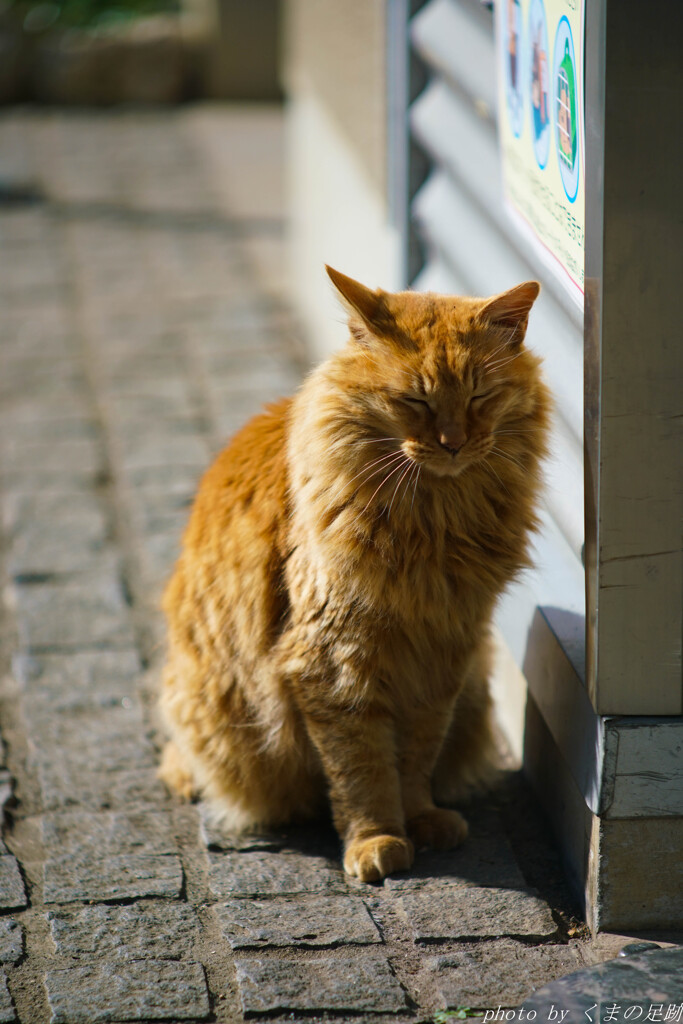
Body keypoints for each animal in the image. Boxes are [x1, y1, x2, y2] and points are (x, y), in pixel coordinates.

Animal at [158, 270, 548, 880]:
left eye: (480, 396)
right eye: (415, 400)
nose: (453, 443)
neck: (435, 520)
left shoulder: (443, 656)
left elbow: (416, 757)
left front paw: (422, 819)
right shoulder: (334, 662)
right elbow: (362, 768)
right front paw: (377, 840)